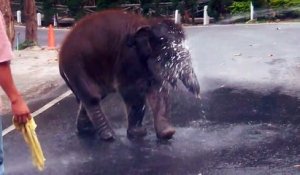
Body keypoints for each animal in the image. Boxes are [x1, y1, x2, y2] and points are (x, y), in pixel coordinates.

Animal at [58, 9, 199, 141]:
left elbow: (159, 90)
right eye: (169, 53)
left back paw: (85, 130)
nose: (198, 96)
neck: (147, 24)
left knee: (95, 95)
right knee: (92, 97)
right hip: (76, 66)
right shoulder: (128, 57)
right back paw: (108, 136)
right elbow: (133, 91)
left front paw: (167, 134)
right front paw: (139, 134)